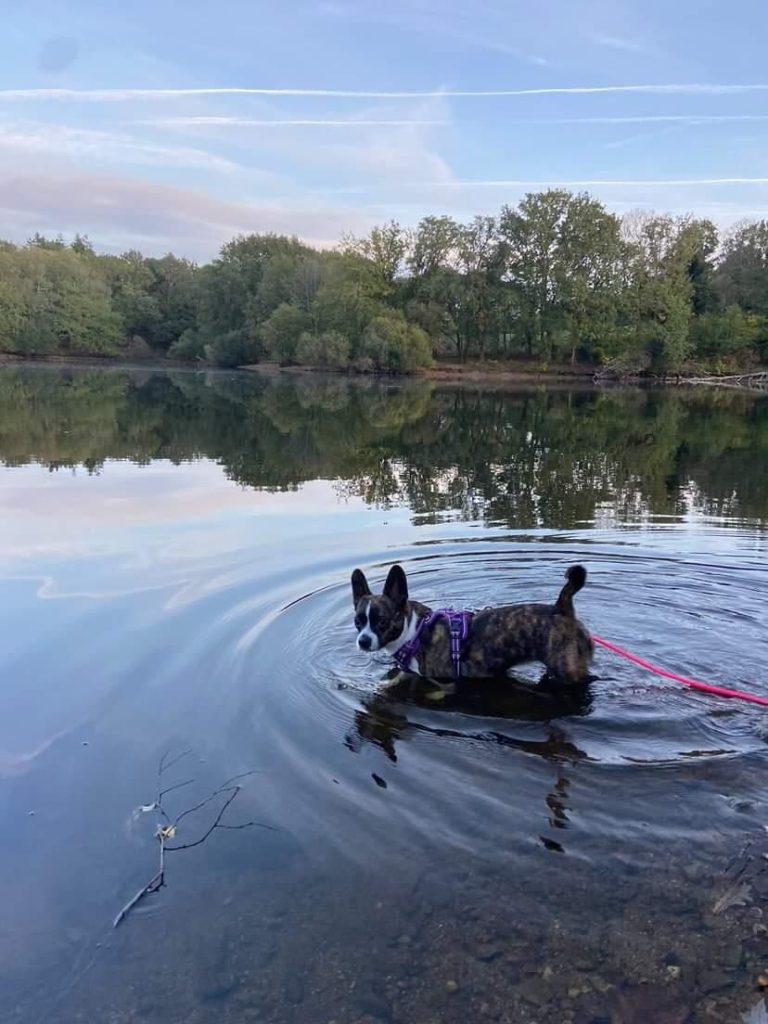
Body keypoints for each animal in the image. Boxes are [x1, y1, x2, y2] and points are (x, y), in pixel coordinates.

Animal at [352, 561, 593, 688]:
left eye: (382, 621)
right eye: (358, 621)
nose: (363, 641)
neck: (413, 632)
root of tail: (560, 609)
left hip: (568, 671)